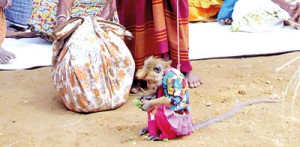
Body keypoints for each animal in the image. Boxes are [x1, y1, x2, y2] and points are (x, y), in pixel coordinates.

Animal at [135, 55, 278, 141]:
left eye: (149, 80)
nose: (149, 86)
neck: (165, 72)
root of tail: (190, 127)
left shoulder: (171, 79)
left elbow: (174, 99)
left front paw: (147, 104)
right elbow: (157, 95)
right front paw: (145, 96)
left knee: (161, 109)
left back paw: (161, 136)